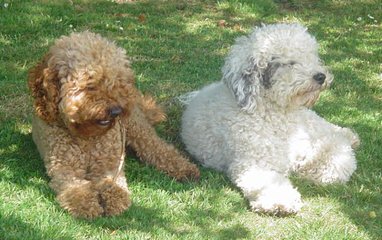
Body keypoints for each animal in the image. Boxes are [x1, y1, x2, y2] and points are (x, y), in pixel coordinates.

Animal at [181, 23, 360, 216]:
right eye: (289, 63)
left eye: (311, 56)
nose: (321, 76)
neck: (276, 115)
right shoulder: (254, 163)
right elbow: (268, 181)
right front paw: (280, 200)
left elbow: (339, 157)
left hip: (310, 120)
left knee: (326, 126)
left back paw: (349, 135)